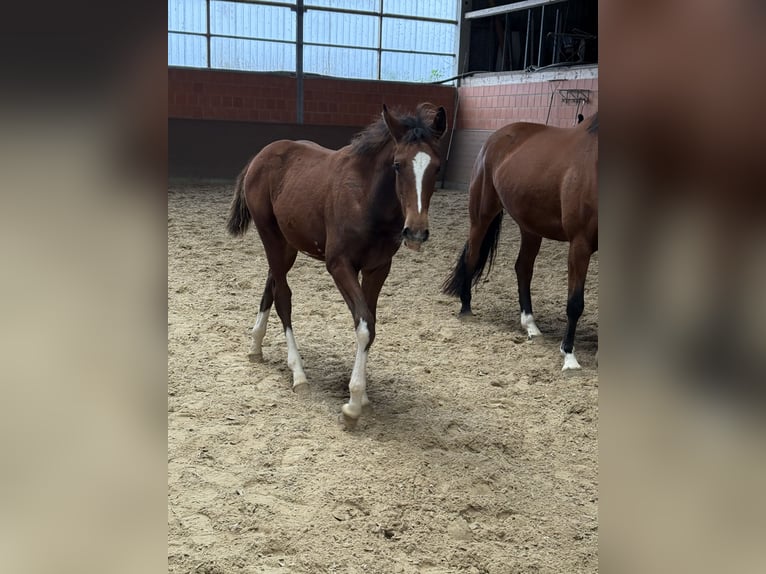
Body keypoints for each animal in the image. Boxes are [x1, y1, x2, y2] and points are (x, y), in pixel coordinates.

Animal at [226, 103, 447, 426]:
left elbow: (370, 322)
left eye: (437, 166)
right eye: (397, 164)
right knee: (283, 297)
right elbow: (364, 324)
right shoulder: (339, 265)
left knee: (271, 284)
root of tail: (260, 156)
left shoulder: (378, 268)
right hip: (270, 236)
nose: (416, 232)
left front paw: (362, 396)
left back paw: (255, 346)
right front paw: (353, 404)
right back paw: (298, 374)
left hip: (288, 244)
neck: (366, 198)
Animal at [442, 113, 598, 370]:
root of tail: (495, 139)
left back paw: (530, 325)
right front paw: (569, 356)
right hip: (481, 216)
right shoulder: (580, 244)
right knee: (472, 257)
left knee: (523, 268)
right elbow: (575, 303)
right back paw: (466, 308)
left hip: (530, 228)